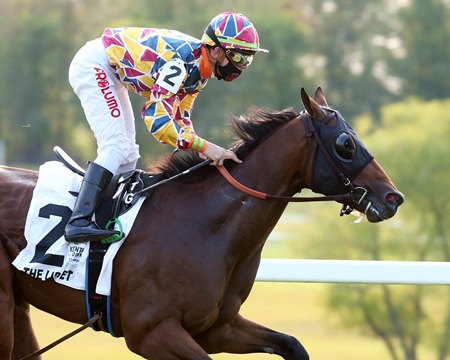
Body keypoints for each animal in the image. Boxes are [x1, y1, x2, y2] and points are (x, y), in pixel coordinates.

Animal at [0, 88, 404, 360]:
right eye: (346, 144)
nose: (393, 197)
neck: (204, 225)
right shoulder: (151, 332)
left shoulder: (216, 327)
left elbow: (293, 345)